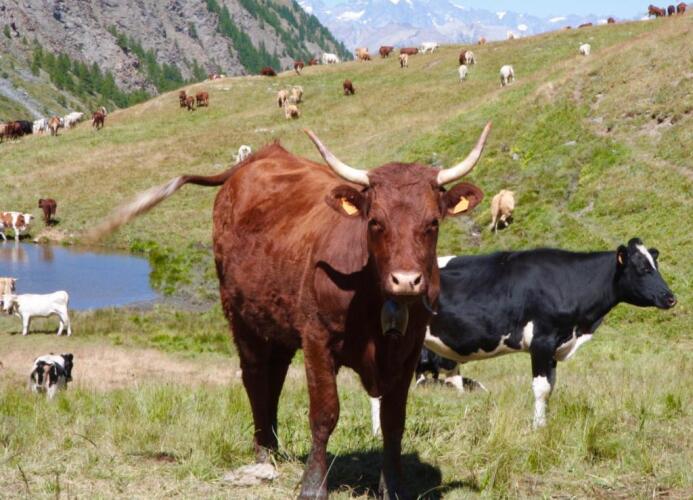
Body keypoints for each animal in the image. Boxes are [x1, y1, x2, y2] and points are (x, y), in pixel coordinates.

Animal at [85, 122, 492, 499]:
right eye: (375, 221)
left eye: (432, 223)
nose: (406, 280)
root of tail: (257, 158)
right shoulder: (317, 339)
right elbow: (325, 414)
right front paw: (313, 485)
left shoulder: (408, 349)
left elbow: (394, 420)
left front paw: (393, 486)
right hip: (240, 316)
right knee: (254, 376)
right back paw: (263, 450)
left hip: (276, 323)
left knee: (275, 377)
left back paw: (274, 445)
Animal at [397, 239, 676, 429]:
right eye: (642, 268)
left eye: (656, 265)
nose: (670, 297)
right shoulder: (542, 341)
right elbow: (541, 387)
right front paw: (538, 427)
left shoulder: (554, 346)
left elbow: (551, 386)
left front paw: (545, 423)